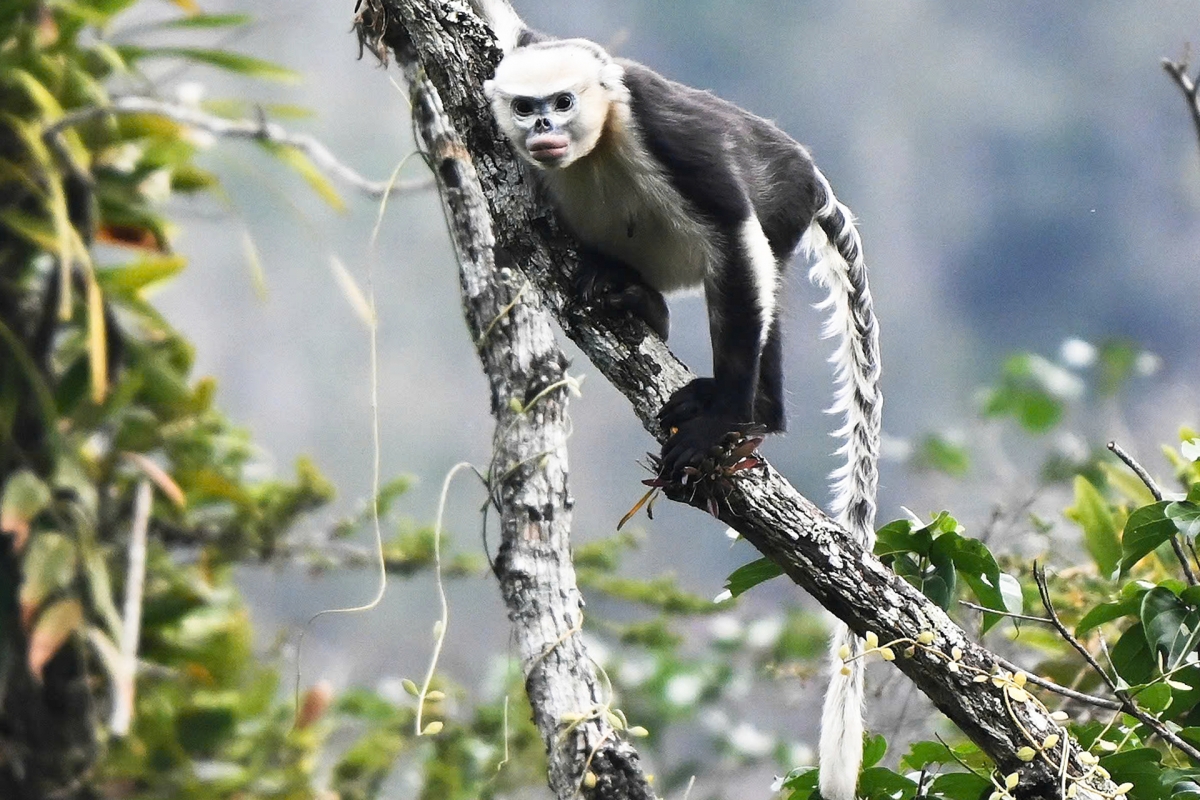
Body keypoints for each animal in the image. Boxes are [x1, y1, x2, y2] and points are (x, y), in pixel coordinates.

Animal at [469, 3, 882, 798]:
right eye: (528, 108)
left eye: (561, 102)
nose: (544, 129)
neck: (599, 138)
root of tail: (812, 176)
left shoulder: (664, 131)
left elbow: (732, 232)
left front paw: (725, 420)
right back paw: (634, 299)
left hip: (784, 196)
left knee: (751, 269)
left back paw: (753, 413)